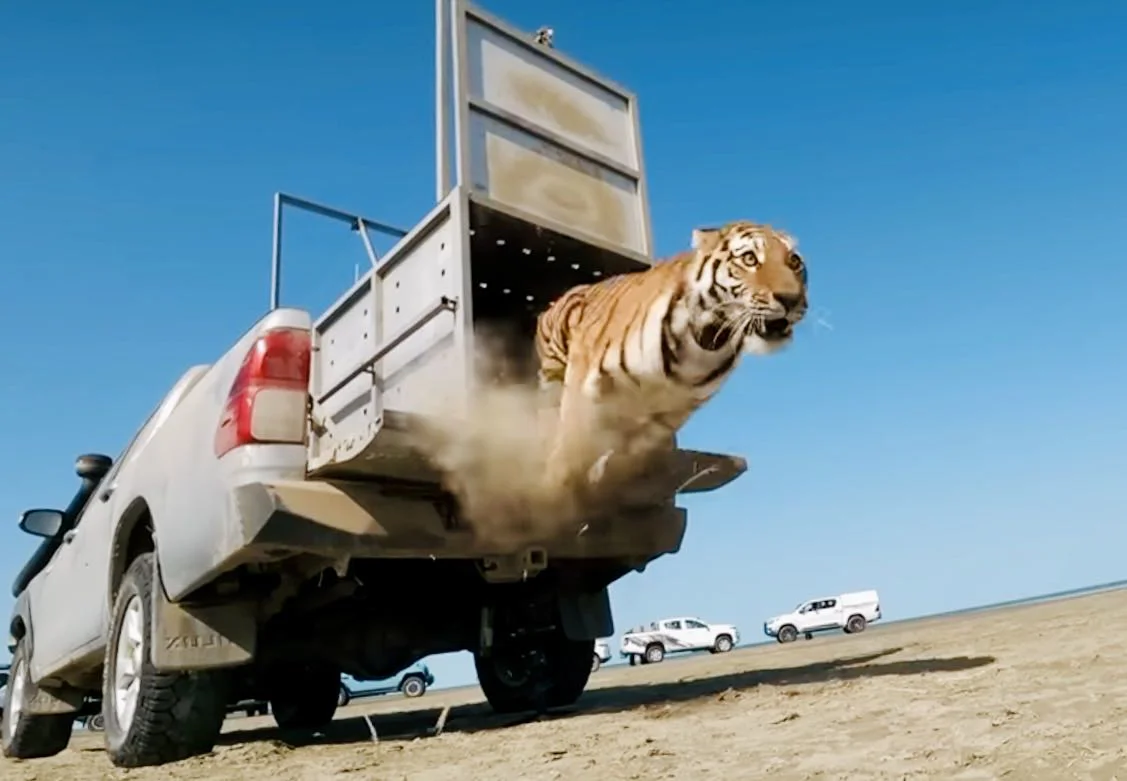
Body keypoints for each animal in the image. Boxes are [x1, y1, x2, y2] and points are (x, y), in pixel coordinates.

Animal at [533, 219, 809, 501]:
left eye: (794, 262)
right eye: (749, 258)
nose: (791, 299)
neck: (708, 342)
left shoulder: (667, 417)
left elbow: (628, 459)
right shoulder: (584, 381)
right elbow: (570, 448)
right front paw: (554, 495)